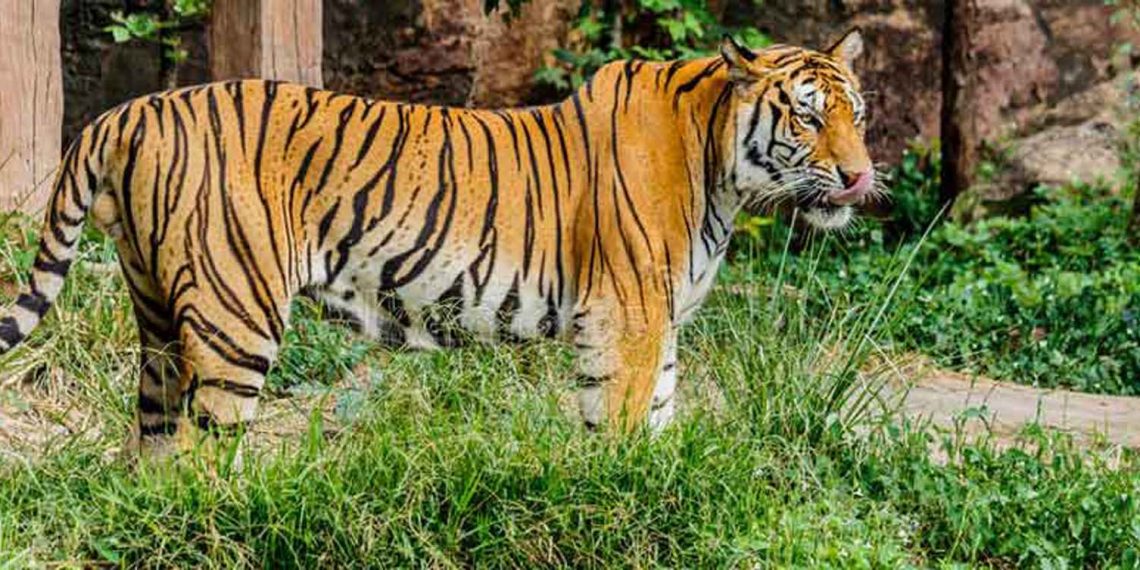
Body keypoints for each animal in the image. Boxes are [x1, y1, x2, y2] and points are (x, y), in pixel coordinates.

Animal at [0, 29, 875, 460]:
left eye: (856, 113)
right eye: (806, 116)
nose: (862, 176)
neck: (722, 167)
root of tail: (129, 110)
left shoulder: (655, 325)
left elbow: (655, 420)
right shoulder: (627, 316)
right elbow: (624, 429)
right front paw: (631, 504)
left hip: (156, 312)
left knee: (154, 443)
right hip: (233, 312)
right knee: (207, 456)